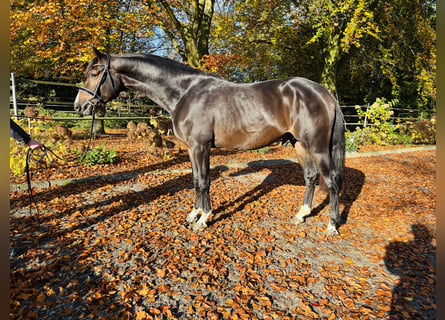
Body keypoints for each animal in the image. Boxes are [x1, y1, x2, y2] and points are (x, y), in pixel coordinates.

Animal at [74, 46, 346, 235]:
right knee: (310, 177)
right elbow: (196, 180)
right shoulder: (191, 149)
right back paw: (302, 214)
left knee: (331, 180)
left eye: (95, 73)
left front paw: (204, 218)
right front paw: (193, 214)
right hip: (299, 144)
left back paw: (332, 225)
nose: (79, 106)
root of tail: (323, 92)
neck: (185, 92)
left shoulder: (200, 147)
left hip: (317, 147)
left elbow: (204, 181)